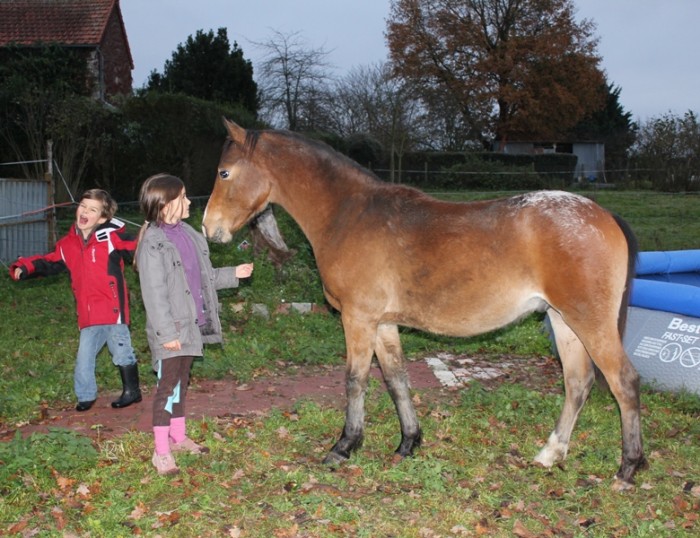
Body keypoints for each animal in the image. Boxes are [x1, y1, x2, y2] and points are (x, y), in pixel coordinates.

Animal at [203, 119, 647, 488]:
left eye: (224, 172)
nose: (209, 228)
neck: (348, 214)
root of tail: (603, 215)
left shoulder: (358, 319)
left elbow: (355, 380)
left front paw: (344, 446)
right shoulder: (383, 323)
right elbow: (396, 379)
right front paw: (408, 443)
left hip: (589, 323)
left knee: (623, 382)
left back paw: (627, 469)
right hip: (563, 321)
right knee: (578, 383)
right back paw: (551, 454)